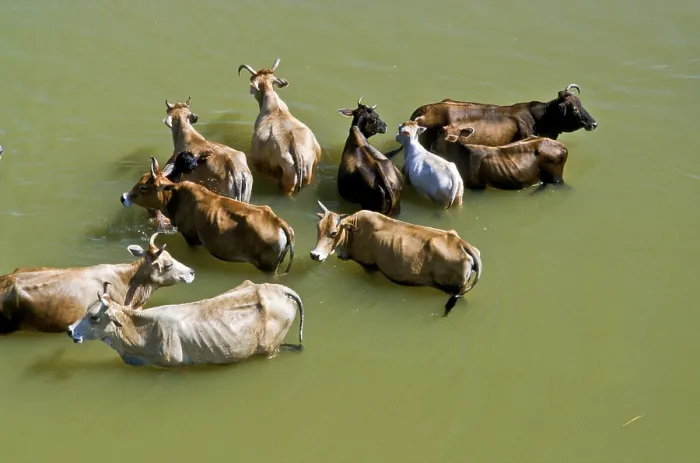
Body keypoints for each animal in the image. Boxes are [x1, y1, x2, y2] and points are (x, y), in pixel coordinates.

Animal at [121, 156, 295, 275]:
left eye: (143, 187)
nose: (123, 197)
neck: (175, 197)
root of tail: (279, 223)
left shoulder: (190, 238)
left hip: (267, 268)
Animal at [309, 202, 482, 316]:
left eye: (333, 232)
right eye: (318, 227)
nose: (314, 254)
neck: (354, 232)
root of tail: (462, 243)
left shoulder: (369, 266)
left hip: (454, 291)